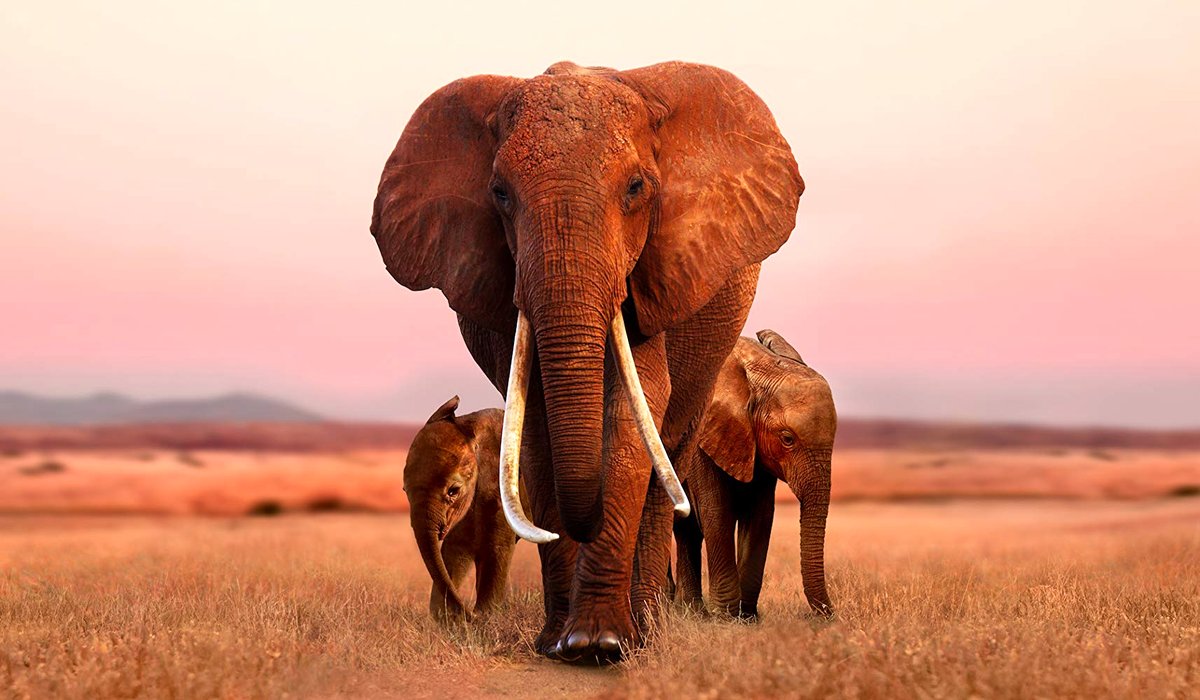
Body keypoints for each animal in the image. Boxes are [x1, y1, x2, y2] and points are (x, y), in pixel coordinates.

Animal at [403, 396, 516, 622]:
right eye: (404, 490)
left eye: (453, 491)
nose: (470, 612)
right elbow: (455, 549)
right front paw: (448, 618)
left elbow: (497, 548)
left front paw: (486, 616)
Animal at [673, 330, 836, 620]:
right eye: (787, 439)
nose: (829, 616)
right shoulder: (703, 435)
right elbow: (717, 511)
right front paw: (726, 618)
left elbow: (760, 514)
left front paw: (747, 617)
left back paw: (690, 612)